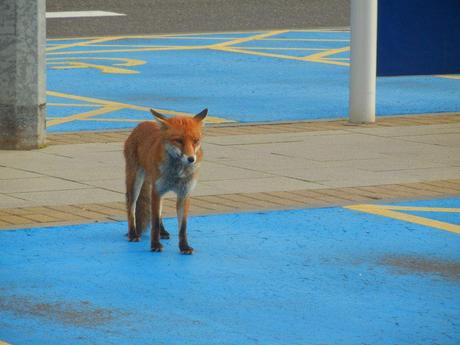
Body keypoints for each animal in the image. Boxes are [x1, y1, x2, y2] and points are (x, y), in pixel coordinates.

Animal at [123, 107, 208, 253]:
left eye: (195, 140)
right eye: (179, 140)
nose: (191, 159)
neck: (177, 173)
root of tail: (142, 124)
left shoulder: (184, 194)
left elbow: (182, 227)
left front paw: (184, 246)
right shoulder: (157, 191)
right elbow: (155, 222)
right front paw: (155, 245)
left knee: (159, 213)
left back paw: (163, 232)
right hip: (136, 182)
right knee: (131, 207)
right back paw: (133, 233)